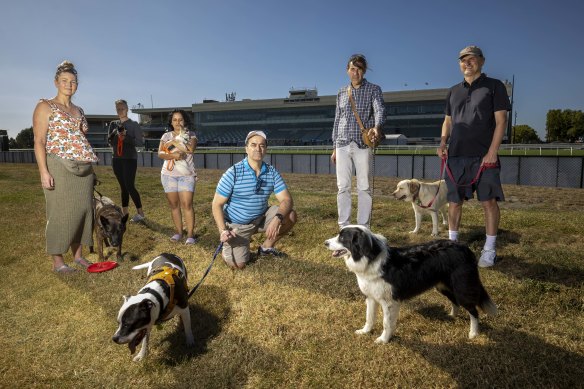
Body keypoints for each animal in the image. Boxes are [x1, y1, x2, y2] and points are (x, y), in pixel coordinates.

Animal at [324, 224, 498, 342]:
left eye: (342, 238)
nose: (325, 242)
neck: (369, 259)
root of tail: (465, 248)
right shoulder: (371, 297)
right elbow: (369, 317)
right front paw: (365, 331)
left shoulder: (389, 302)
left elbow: (386, 323)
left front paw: (383, 340)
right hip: (443, 286)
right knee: (455, 302)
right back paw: (452, 316)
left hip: (462, 288)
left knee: (473, 310)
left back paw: (473, 333)